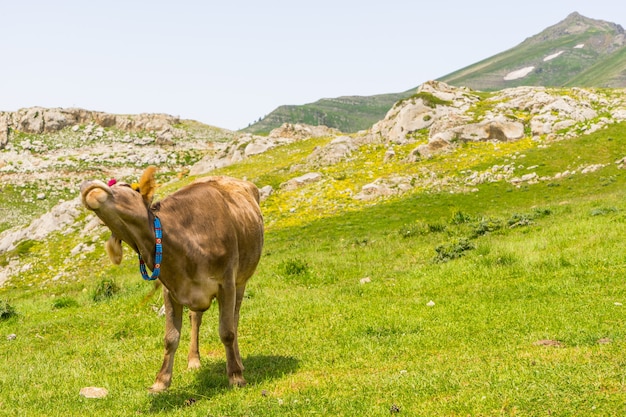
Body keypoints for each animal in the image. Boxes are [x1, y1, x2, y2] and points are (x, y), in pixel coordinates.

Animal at [78, 165, 264, 390]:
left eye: (128, 186)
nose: (87, 184)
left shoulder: (226, 282)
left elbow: (227, 331)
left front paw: (236, 376)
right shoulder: (171, 289)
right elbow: (171, 337)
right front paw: (161, 381)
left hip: (242, 280)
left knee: (235, 318)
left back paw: (238, 361)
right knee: (196, 318)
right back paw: (194, 360)